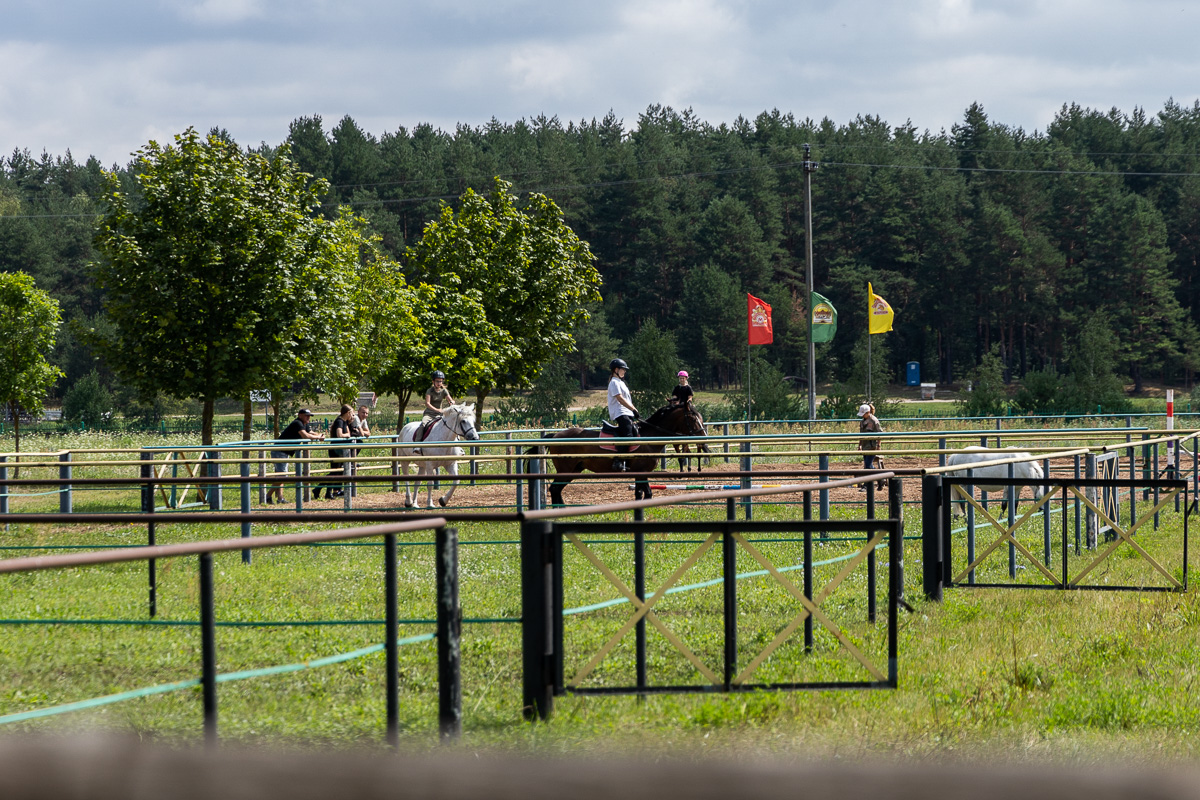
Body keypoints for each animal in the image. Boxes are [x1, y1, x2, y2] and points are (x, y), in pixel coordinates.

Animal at [540, 402, 705, 503]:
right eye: (693, 418)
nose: (703, 436)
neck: (648, 437)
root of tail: (556, 435)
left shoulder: (640, 474)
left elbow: (641, 494)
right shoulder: (641, 472)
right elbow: (647, 494)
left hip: (574, 470)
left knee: (556, 489)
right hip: (565, 470)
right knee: (554, 489)